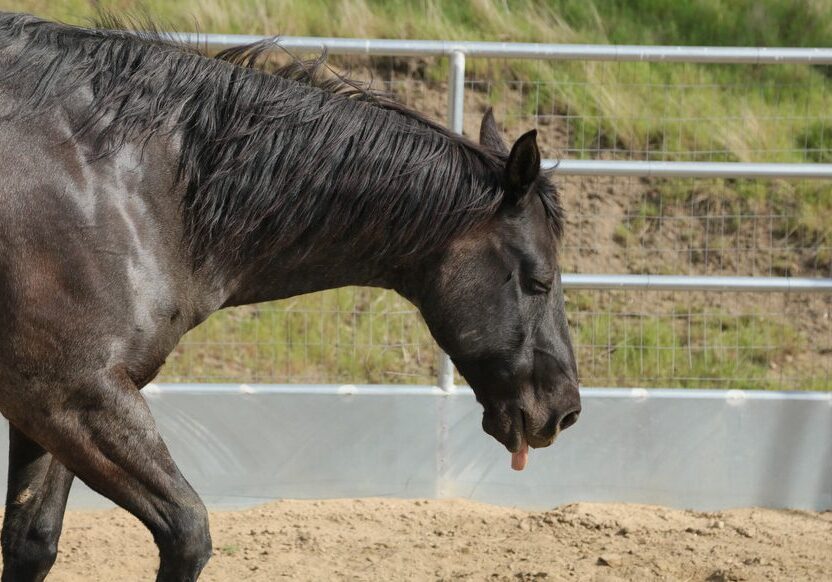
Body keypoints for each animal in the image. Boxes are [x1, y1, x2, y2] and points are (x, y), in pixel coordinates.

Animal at [0, 12, 580, 581]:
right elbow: (188, 532)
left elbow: (33, 543)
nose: (566, 411)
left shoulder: (51, 412)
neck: (127, 184)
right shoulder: (74, 396)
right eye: (539, 280)